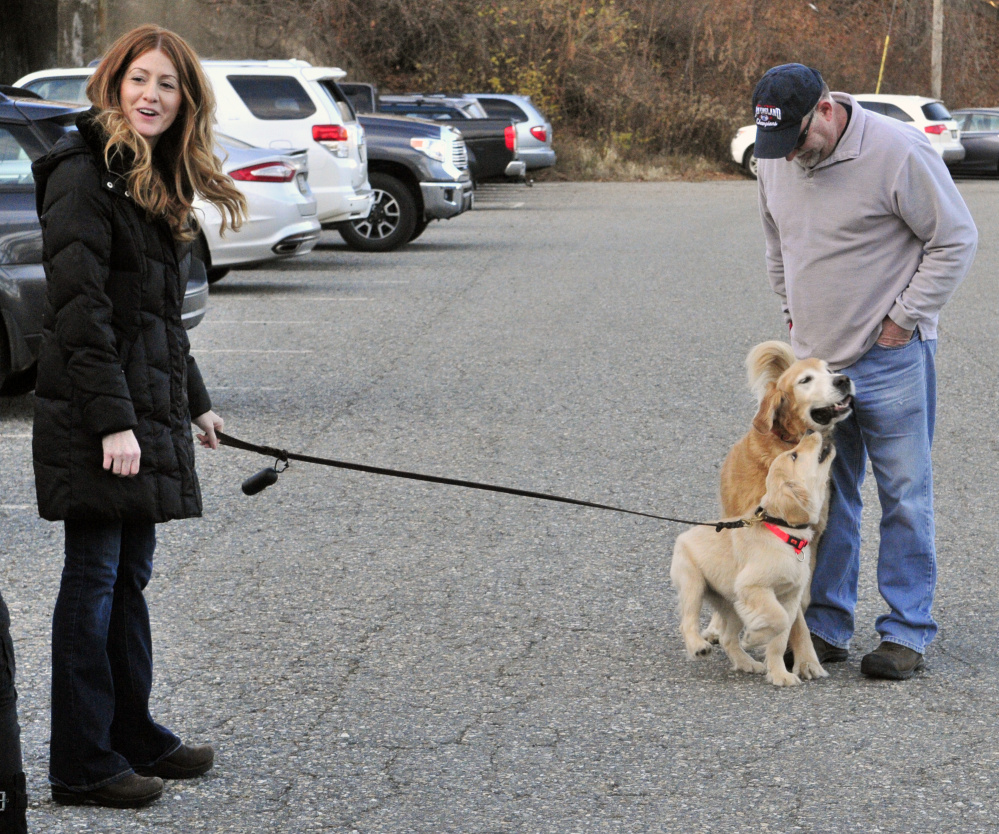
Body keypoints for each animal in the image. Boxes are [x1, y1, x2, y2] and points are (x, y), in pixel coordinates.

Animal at [672, 432, 836, 684]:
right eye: (794, 455)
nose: (811, 433)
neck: (784, 533)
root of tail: (682, 536)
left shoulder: (789, 597)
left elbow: (781, 636)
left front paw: (780, 674)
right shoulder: (754, 587)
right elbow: (778, 618)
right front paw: (753, 638)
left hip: (733, 604)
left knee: (728, 638)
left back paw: (747, 663)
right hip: (693, 585)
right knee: (687, 621)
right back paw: (699, 647)